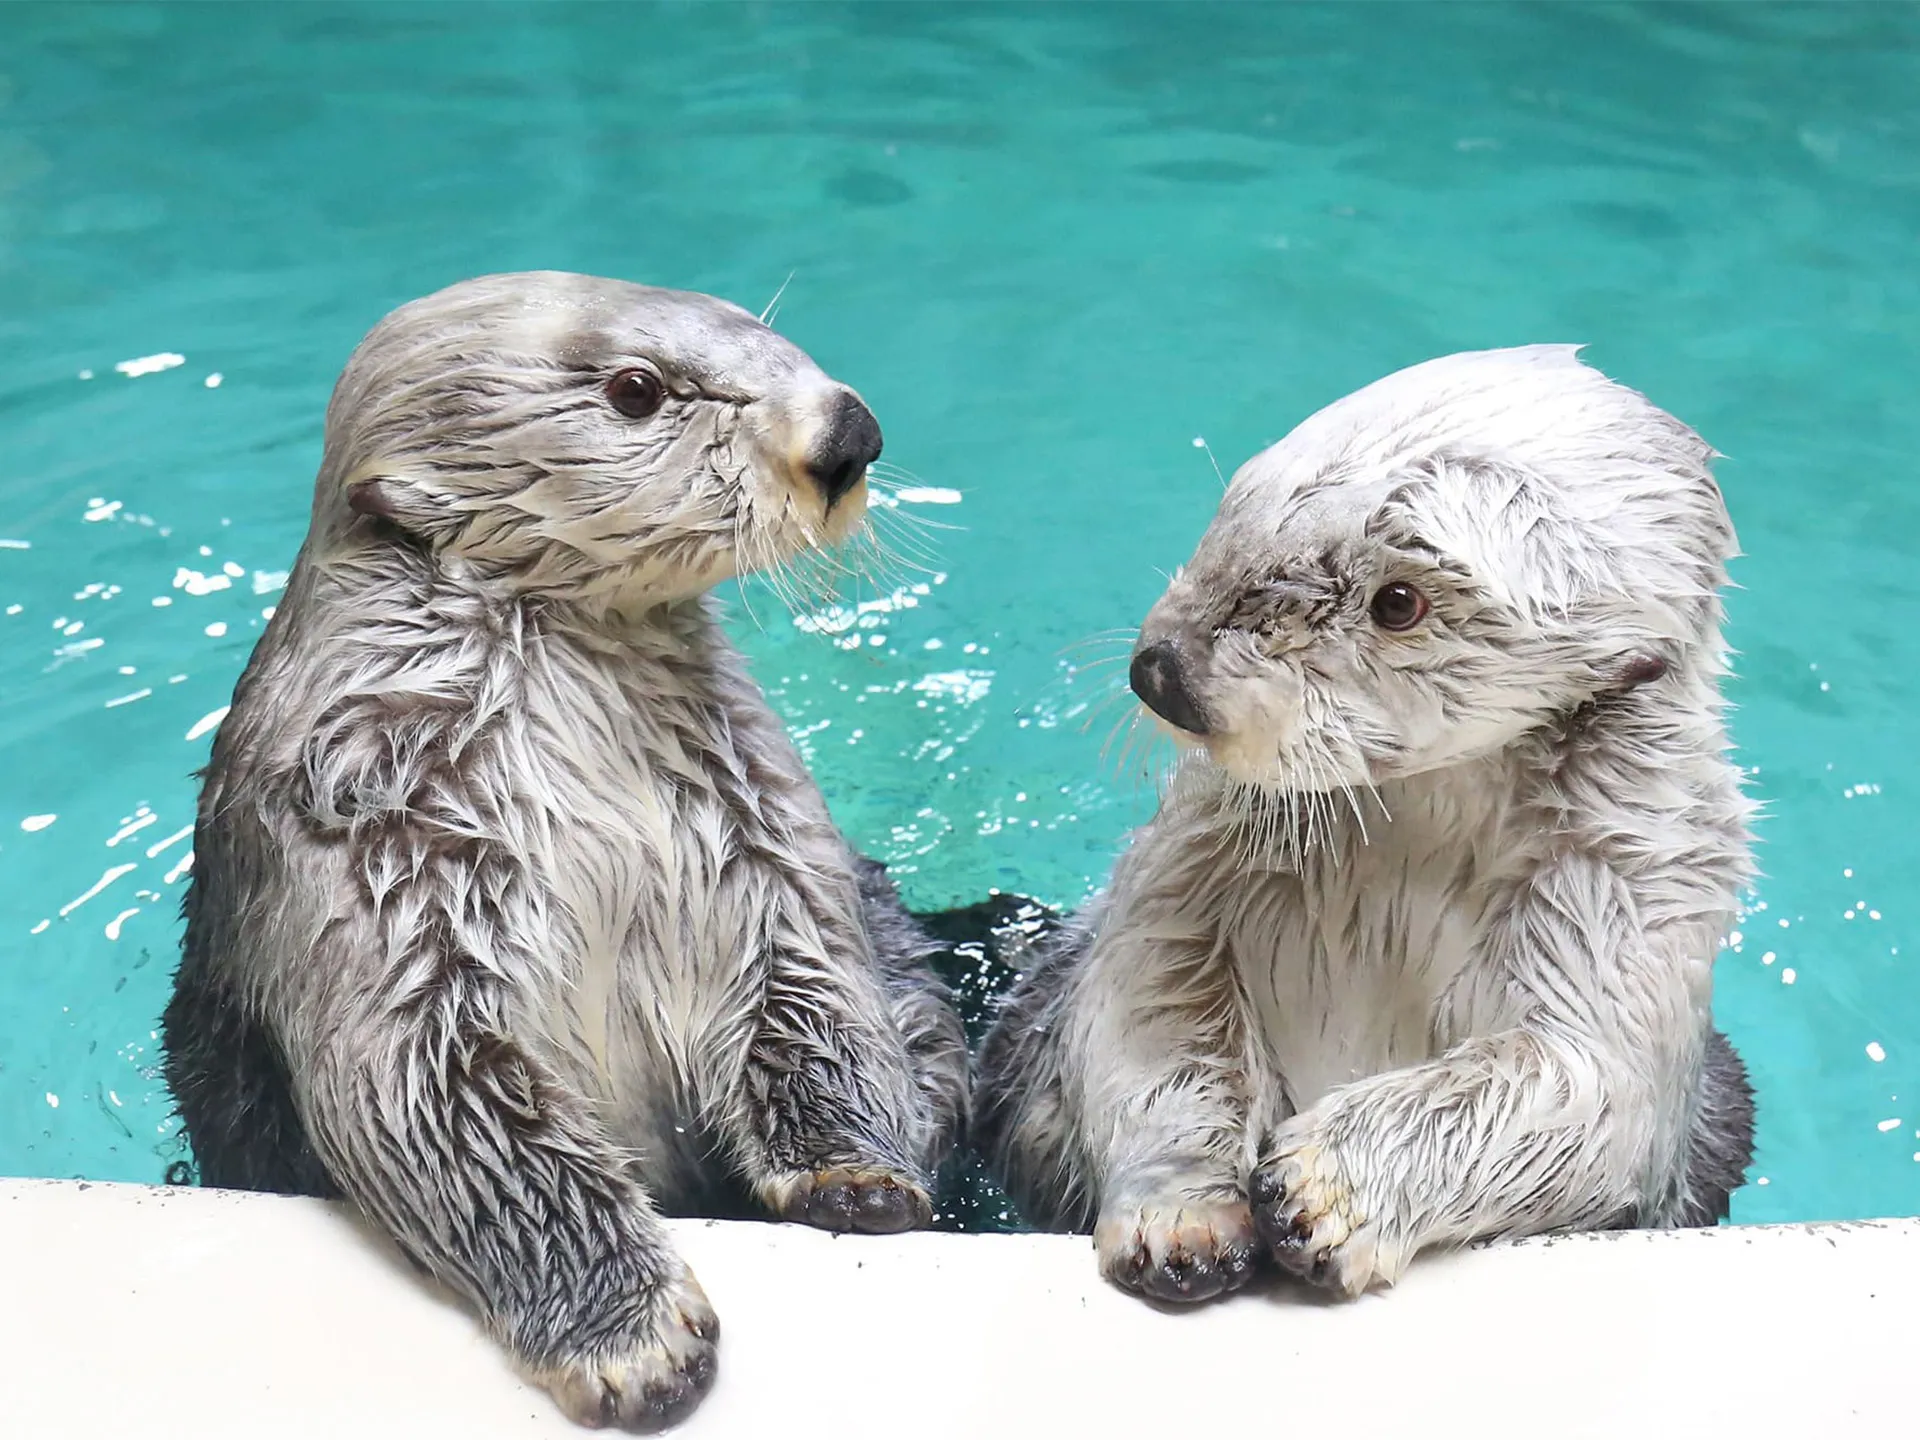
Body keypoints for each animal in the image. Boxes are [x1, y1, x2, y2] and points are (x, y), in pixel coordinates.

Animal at [983, 343, 1751, 1305]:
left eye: (1398, 604)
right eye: (1237, 508)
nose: (1161, 671)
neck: (1415, 842)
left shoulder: (1630, 898)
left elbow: (1581, 1085)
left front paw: (1321, 1189)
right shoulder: (1190, 860)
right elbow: (1148, 1004)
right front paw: (1184, 1219)